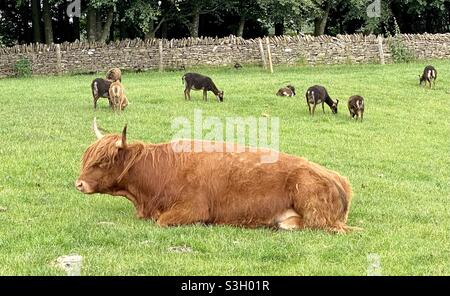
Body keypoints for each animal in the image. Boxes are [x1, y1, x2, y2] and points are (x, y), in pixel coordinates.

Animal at [74, 119, 358, 232]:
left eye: (103, 161)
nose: (79, 184)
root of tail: (337, 178)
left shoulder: (192, 209)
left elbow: (162, 221)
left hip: (315, 209)